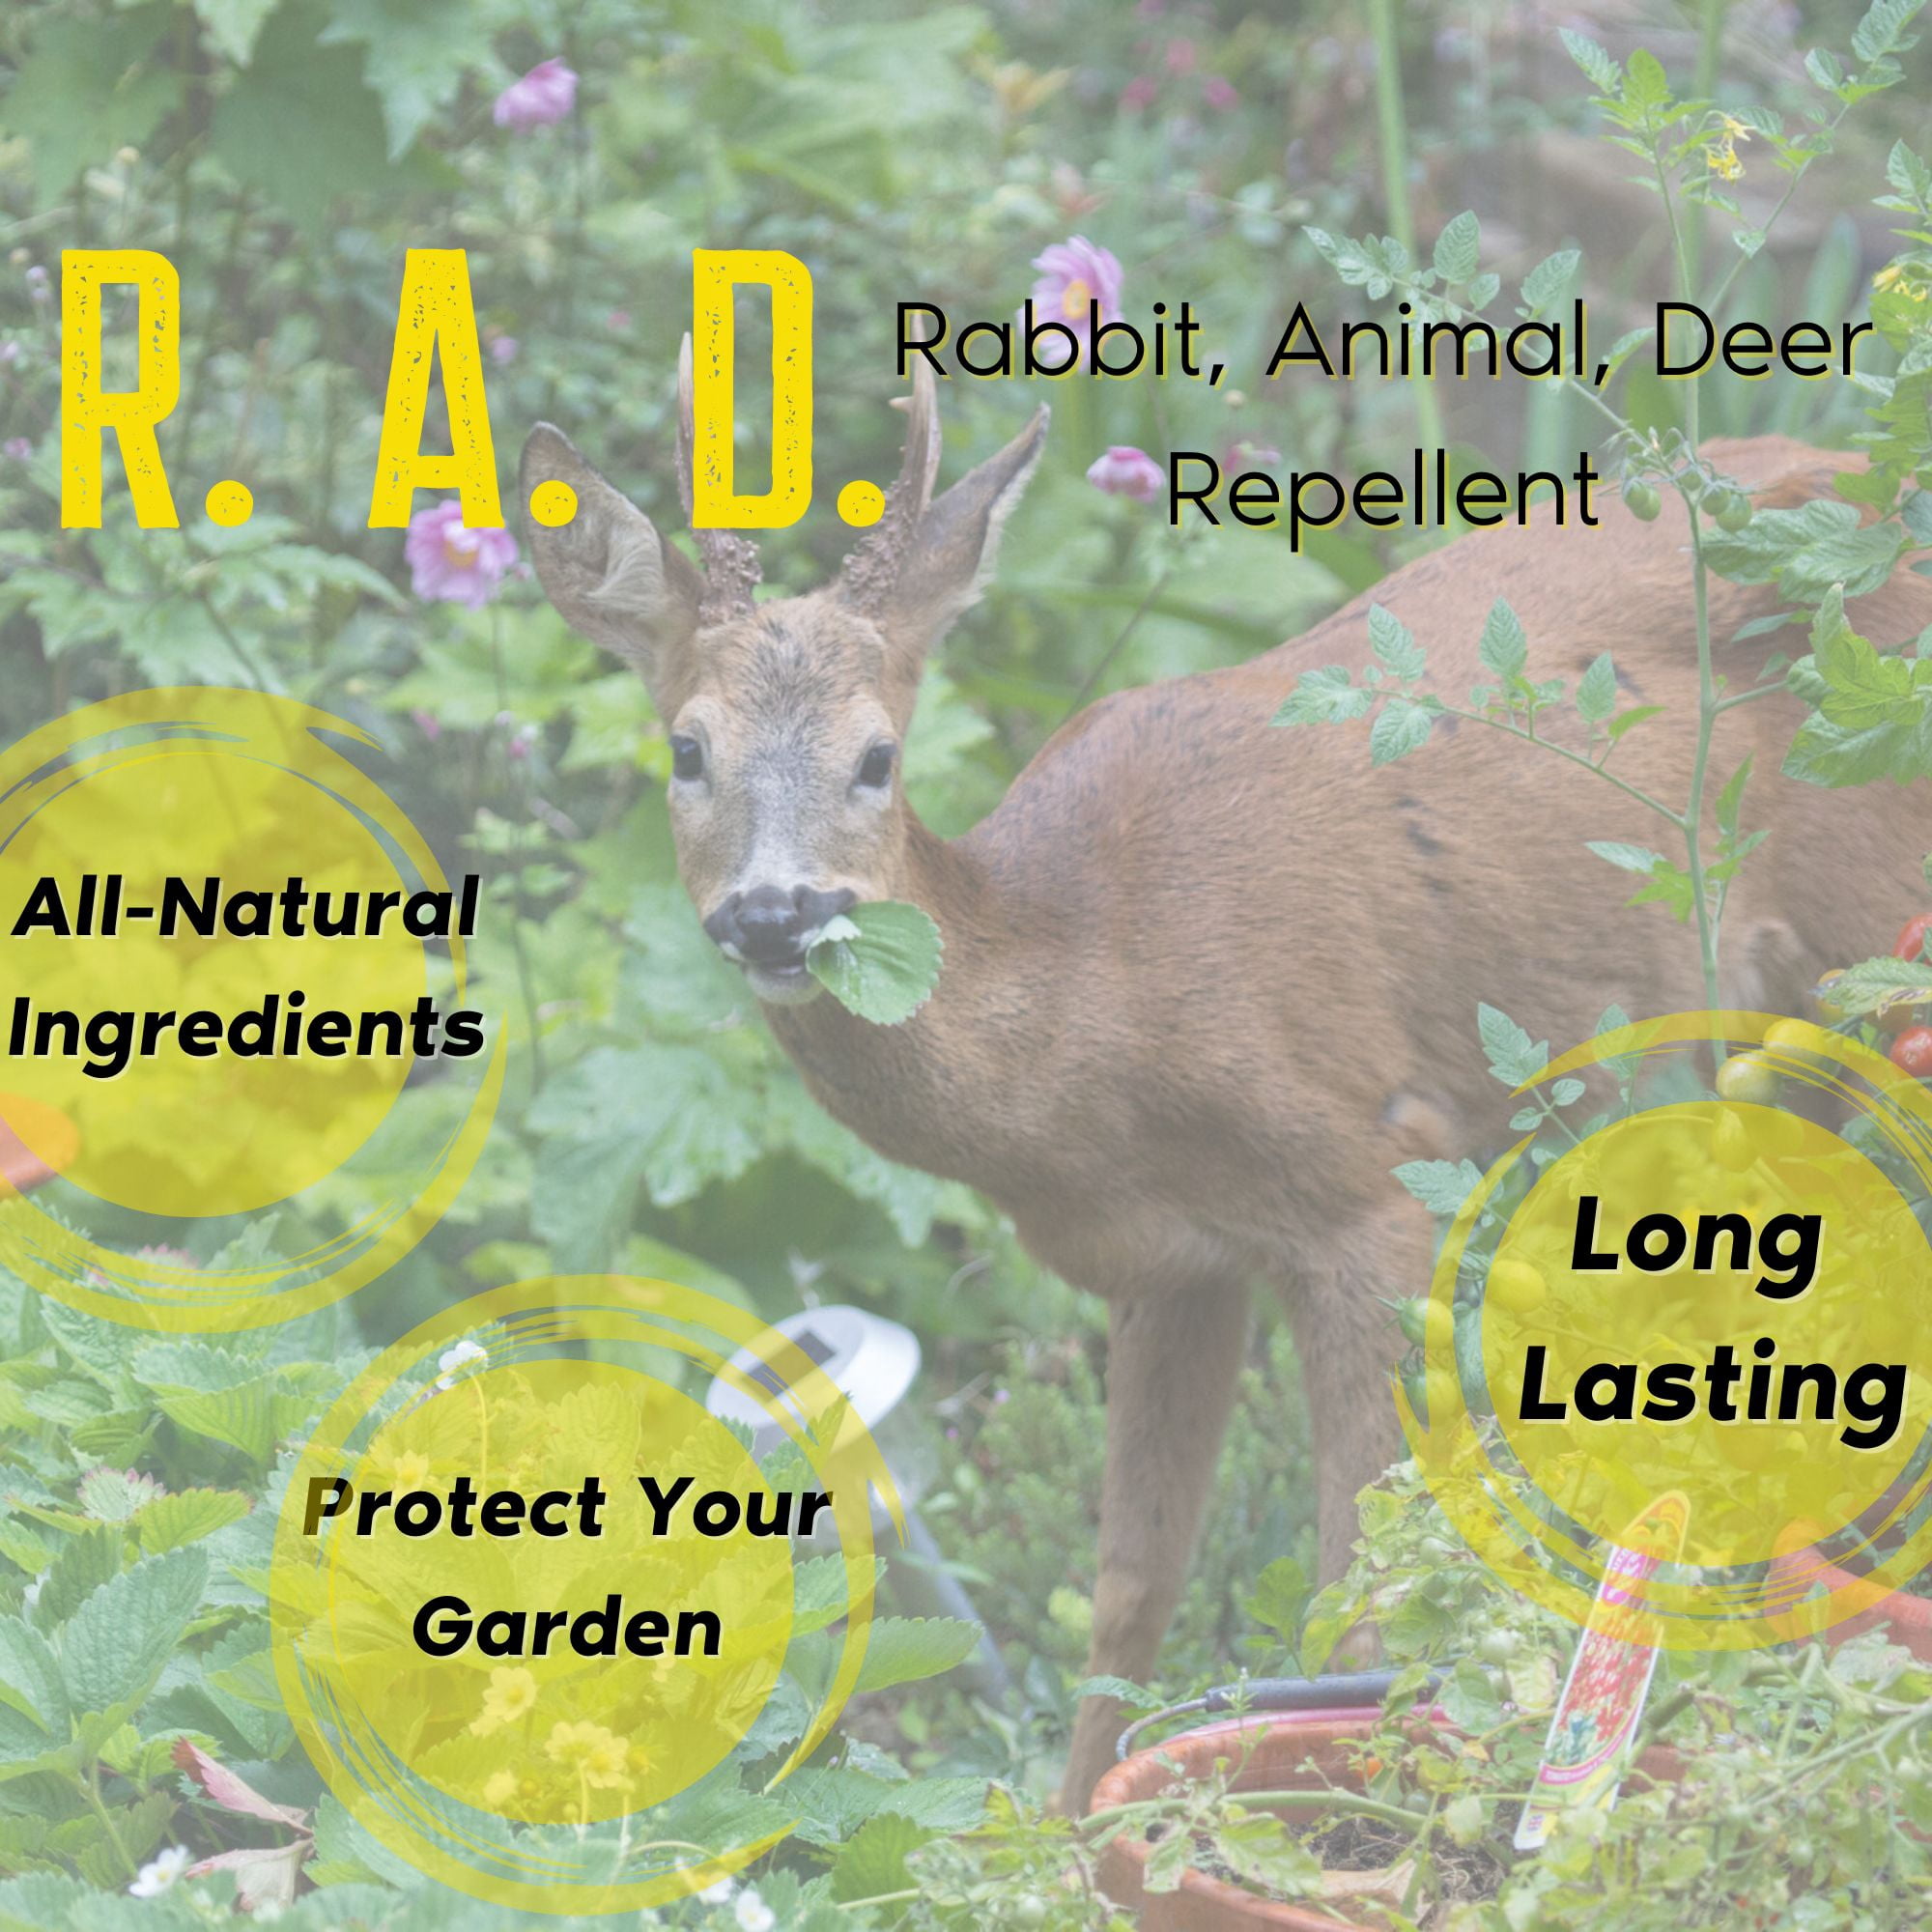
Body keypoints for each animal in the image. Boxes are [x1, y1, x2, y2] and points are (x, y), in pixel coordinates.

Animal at [522, 354, 1932, 1811]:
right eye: (687, 751)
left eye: (876, 756)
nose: (773, 914)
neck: (1094, 1000)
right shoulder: (1166, 1263)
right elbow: (1127, 1585)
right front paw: (1074, 1827)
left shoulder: (1363, 1183)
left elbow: (1353, 1585)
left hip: (1871, 924)